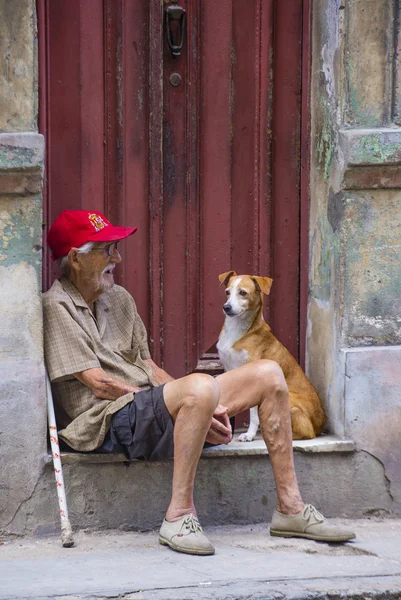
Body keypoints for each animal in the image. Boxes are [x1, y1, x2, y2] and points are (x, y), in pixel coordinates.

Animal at [216, 272, 324, 440]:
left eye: (243, 293)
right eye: (227, 292)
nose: (226, 307)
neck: (237, 329)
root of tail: (320, 425)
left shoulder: (253, 377)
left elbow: (253, 414)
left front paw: (249, 434)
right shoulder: (228, 370)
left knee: (305, 432)